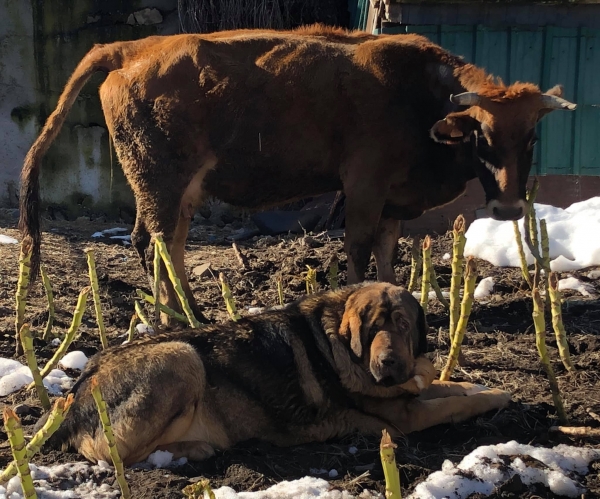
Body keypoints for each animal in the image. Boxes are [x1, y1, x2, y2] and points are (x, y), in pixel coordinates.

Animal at [21, 25, 576, 322]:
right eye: (481, 135)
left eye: (530, 138)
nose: (508, 207)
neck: (419, 96)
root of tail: (133, 48)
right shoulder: (364, 184)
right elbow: (358, 247)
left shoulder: (394, 197)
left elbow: (387, 249)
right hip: (160, 180)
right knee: (154, 243)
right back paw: (175, 318)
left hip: (180, 189)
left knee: (168, 244)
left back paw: (187, 314)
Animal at [38, 284, 510, 466]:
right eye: (370, 329)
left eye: (403, 325)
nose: (387, 365)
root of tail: (72, 399)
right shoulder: (406, 418)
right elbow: (452, 406)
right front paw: (496, 398)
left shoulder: (410, 393)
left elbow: (447, 386)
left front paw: (475, 384)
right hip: (181, 356)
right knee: (116, 455)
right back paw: (194, 448)